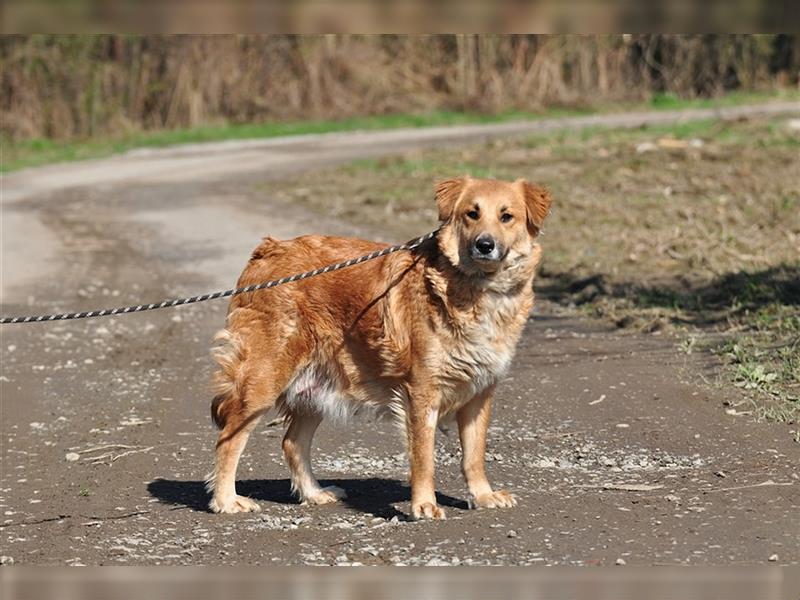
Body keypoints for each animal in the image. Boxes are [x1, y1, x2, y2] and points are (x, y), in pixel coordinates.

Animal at [206, 176, 552, 516]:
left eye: (507, 217)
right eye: (472, 214)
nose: (485, 244)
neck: (476, 287)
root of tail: (269, 249)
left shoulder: (480, 393)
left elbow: (474, 454)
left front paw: (482, 495)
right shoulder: (421, 393)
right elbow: (423, 457)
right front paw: (424, 504)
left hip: (315, 387)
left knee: (292, 442)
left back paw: (314, 493)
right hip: (262, 381)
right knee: (228, 439)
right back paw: (226, 500)